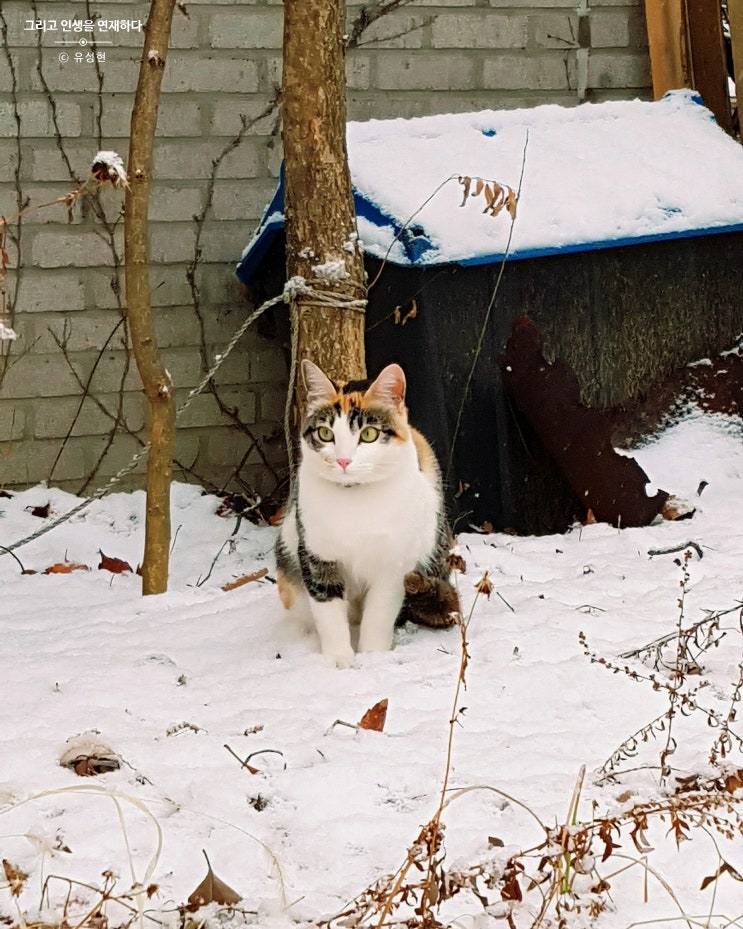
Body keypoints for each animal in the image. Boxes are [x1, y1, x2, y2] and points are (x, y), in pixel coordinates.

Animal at [274, 358, 460, 668]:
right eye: (325, 433)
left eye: (369, 434)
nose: (342, 460)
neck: (355, 501)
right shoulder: (316, 555)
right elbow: (328, 612)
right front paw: (339, 660)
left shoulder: (394, 564)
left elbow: (379, 614)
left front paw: (373, 656)